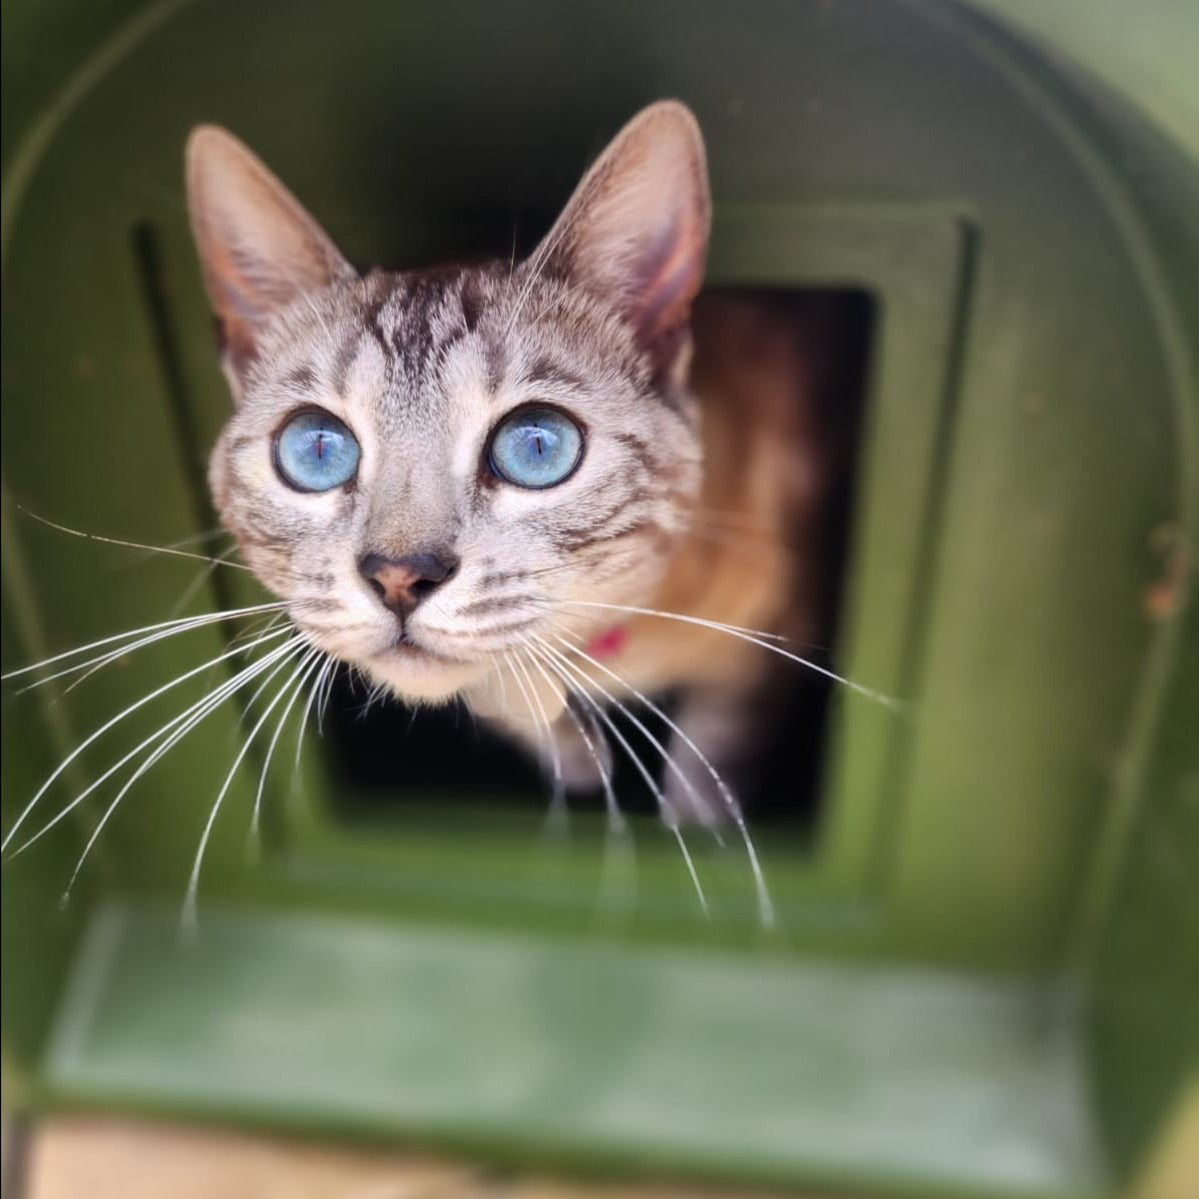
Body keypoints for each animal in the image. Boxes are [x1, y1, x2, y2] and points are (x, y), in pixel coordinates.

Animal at [189, 100, 844, 844]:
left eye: (536, 446)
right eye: (317, 449)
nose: (398, 576)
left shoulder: (776, 632)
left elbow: (721, 742)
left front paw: (701, 822)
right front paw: (573, 757)